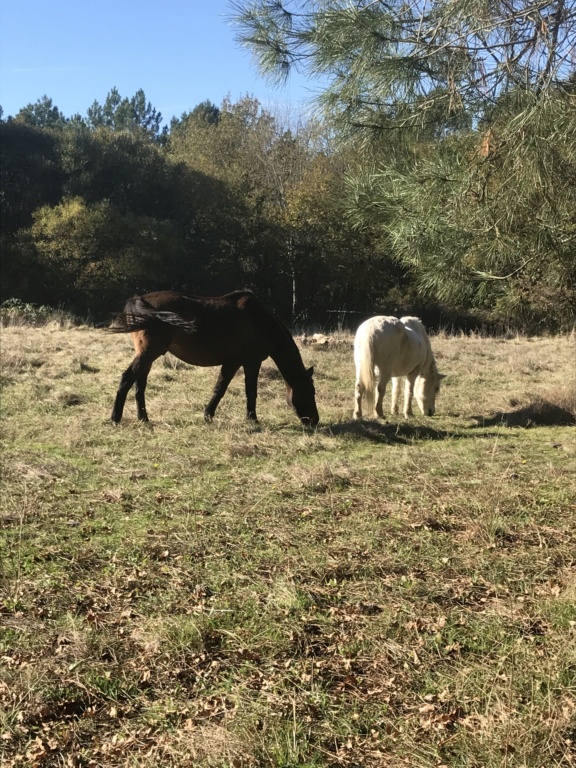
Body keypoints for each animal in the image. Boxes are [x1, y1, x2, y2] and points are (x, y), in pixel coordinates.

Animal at [108, 292, 320, 428]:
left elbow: (222, 388)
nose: (315, 420)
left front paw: (208, 415)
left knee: (139, 385)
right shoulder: (248, 362)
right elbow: (245, 390)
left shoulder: (236, 363)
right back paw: (115, 419)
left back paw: (143, 418)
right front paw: (252, 419)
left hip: (147, 355)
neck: (262, 322)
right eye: (310, 391)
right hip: (149, 353)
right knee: (127, 379)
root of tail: (140, 300)